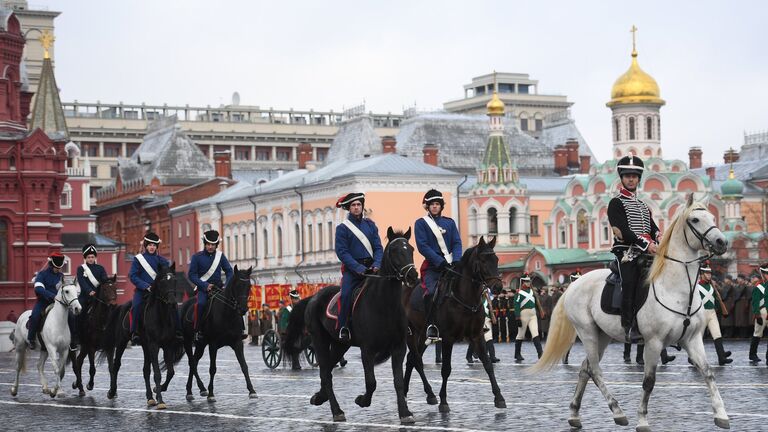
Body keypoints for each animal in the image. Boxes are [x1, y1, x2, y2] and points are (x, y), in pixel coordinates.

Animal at [100, 264, 184, 408]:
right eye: (162, 281)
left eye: (174, 280)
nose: (173, 303)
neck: (162, 316)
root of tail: (122, 306)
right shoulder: (154, 345)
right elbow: (157, 373)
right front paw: (161, 400)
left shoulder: (167, 346)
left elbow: (170, 372)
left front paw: (158, 390)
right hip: (122, 342)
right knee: (116, 365)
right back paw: (112, 392)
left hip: (145, 346)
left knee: (145, 370)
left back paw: (150, 397)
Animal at [178, 266, 256, 402]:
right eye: (237, 285)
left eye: (249, 286)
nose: (243, 309)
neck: (227, 314)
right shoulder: (213, 345)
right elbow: (212, 369)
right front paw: (211, 394)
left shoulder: (237, 343)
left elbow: (244, 366)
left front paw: (251, 390)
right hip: (188, 341)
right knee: (192, 362)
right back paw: (197, 390)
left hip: (200, 345)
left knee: (195, 361)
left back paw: (194, 390)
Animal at [284, 228, 420, 424]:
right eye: (394, 251)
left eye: (411, 249)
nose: (413, 276)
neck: (384, 304)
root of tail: (313, 298)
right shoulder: (367, 350)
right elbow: (371, 382)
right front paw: (362, 400)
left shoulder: (399, 347)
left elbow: (398, 382)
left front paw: (405, 413)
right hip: (320, 341)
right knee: (325, 373)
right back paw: (336, 410)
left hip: (340, 345)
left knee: (328, 370)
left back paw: (320, 397)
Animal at [404, 236, 508, 412]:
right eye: (482, 260)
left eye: (496, 259)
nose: (498, 287)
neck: (465, 298)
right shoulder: (448, 338)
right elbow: (446, 369)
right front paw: (444, 401)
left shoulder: (477, 335)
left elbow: (488, 364)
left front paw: (499, 397)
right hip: (413, 334)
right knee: (415, 359)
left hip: (423, 336)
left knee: (412, 359)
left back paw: (415, 393)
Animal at [532, 197, 728, 432]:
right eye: (695, 219)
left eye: (713, 217)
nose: (721, 242)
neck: (677, 289)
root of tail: (573, 285)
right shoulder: (654, 342)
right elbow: (649, 381)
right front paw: (642, 420)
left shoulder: (693, 339)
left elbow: (708, 372)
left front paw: (721, 414)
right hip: (587, 333)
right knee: (595, 370)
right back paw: (618, 411)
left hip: (602, 336)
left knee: (585, 369)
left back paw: (574, 414)